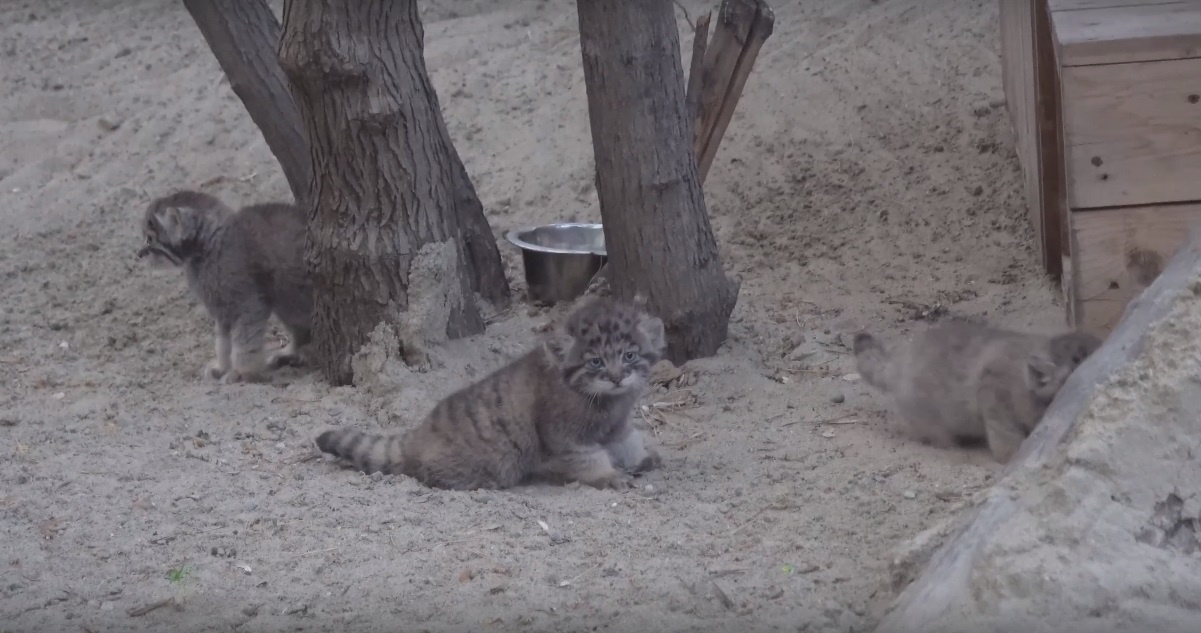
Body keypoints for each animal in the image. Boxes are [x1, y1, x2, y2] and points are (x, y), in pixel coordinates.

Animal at [136, 190, 314, 384]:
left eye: (150, 239)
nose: (138, 254)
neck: (210, 247)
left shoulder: (248, 305)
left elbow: (244, 343)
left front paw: (242, 371)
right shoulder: (221, 309)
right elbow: (222, 343)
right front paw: (222, 367)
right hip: (288, 302)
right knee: (302, 331)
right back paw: (291, 353)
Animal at [314, 297, 672, 490]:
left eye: (629, 355)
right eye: (595, 361)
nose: (616, 377)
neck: (605, 401)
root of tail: (418, 434)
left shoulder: (618, 426)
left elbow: (628, 441)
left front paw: (641, 458)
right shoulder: (566, 438)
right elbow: (590, 458)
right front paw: (608, 475)